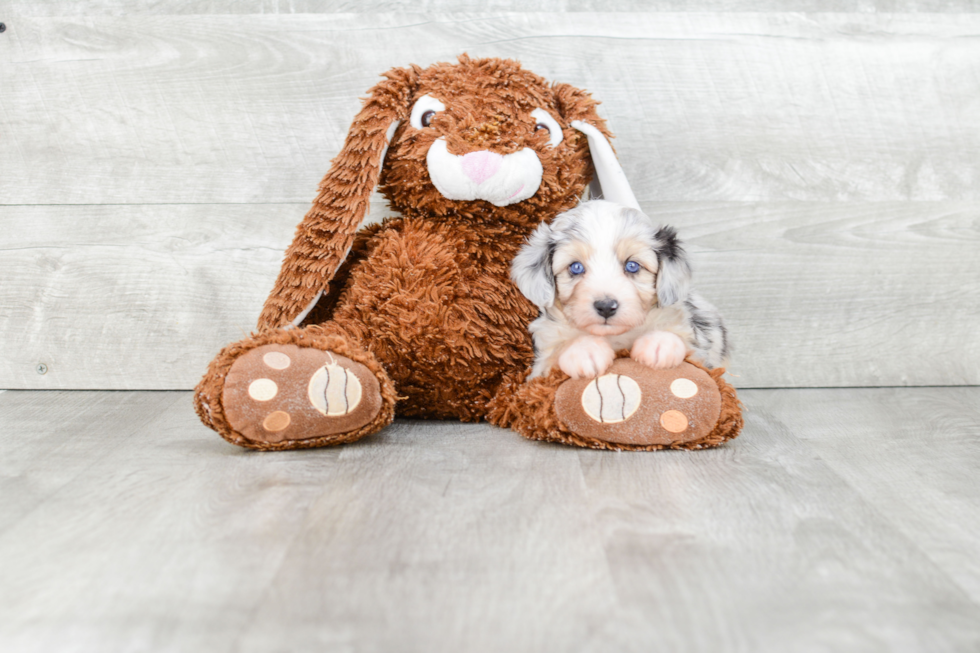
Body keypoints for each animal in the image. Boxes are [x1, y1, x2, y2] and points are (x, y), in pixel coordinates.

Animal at [512, 199, 728, 376]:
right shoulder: (539, 369)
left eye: (632, 265)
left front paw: (660, 343)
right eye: (576, 267)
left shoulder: (699, 351)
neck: (615, 337)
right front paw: (584, 350)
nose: (606, 307)